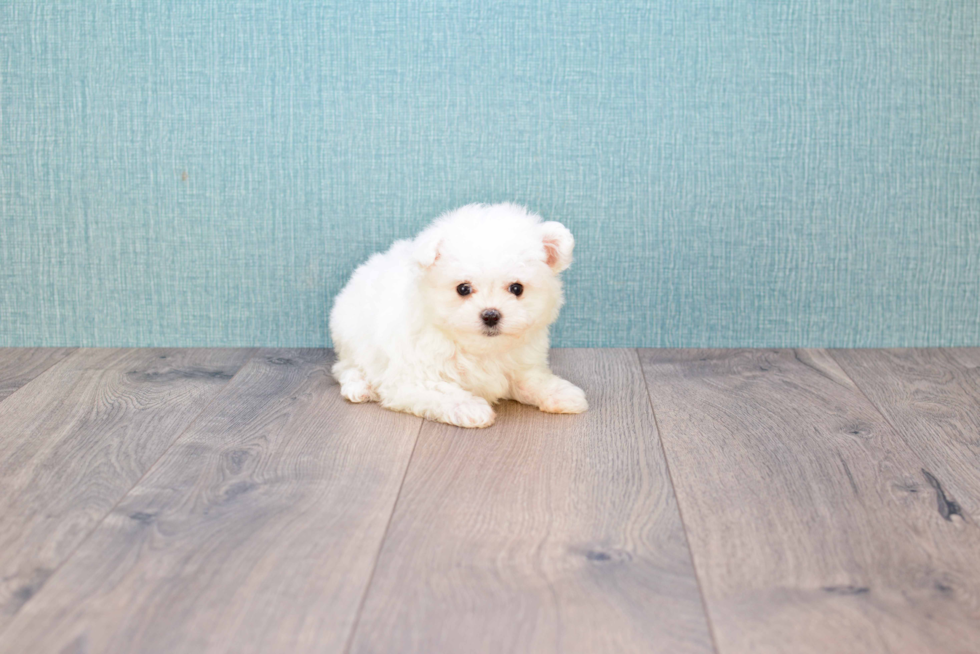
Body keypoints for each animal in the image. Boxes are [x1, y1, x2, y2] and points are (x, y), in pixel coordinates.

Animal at [330, 205, 588, 430]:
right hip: (352, 336)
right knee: (345, 367)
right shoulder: (412, 379)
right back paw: (359, 387)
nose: (491, 315)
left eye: (517, 288)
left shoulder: (519, 363)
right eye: (463, 289)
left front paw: (560, 393)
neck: (479, 349)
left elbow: (532, 380)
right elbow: (443, 392)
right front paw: (469, 408)